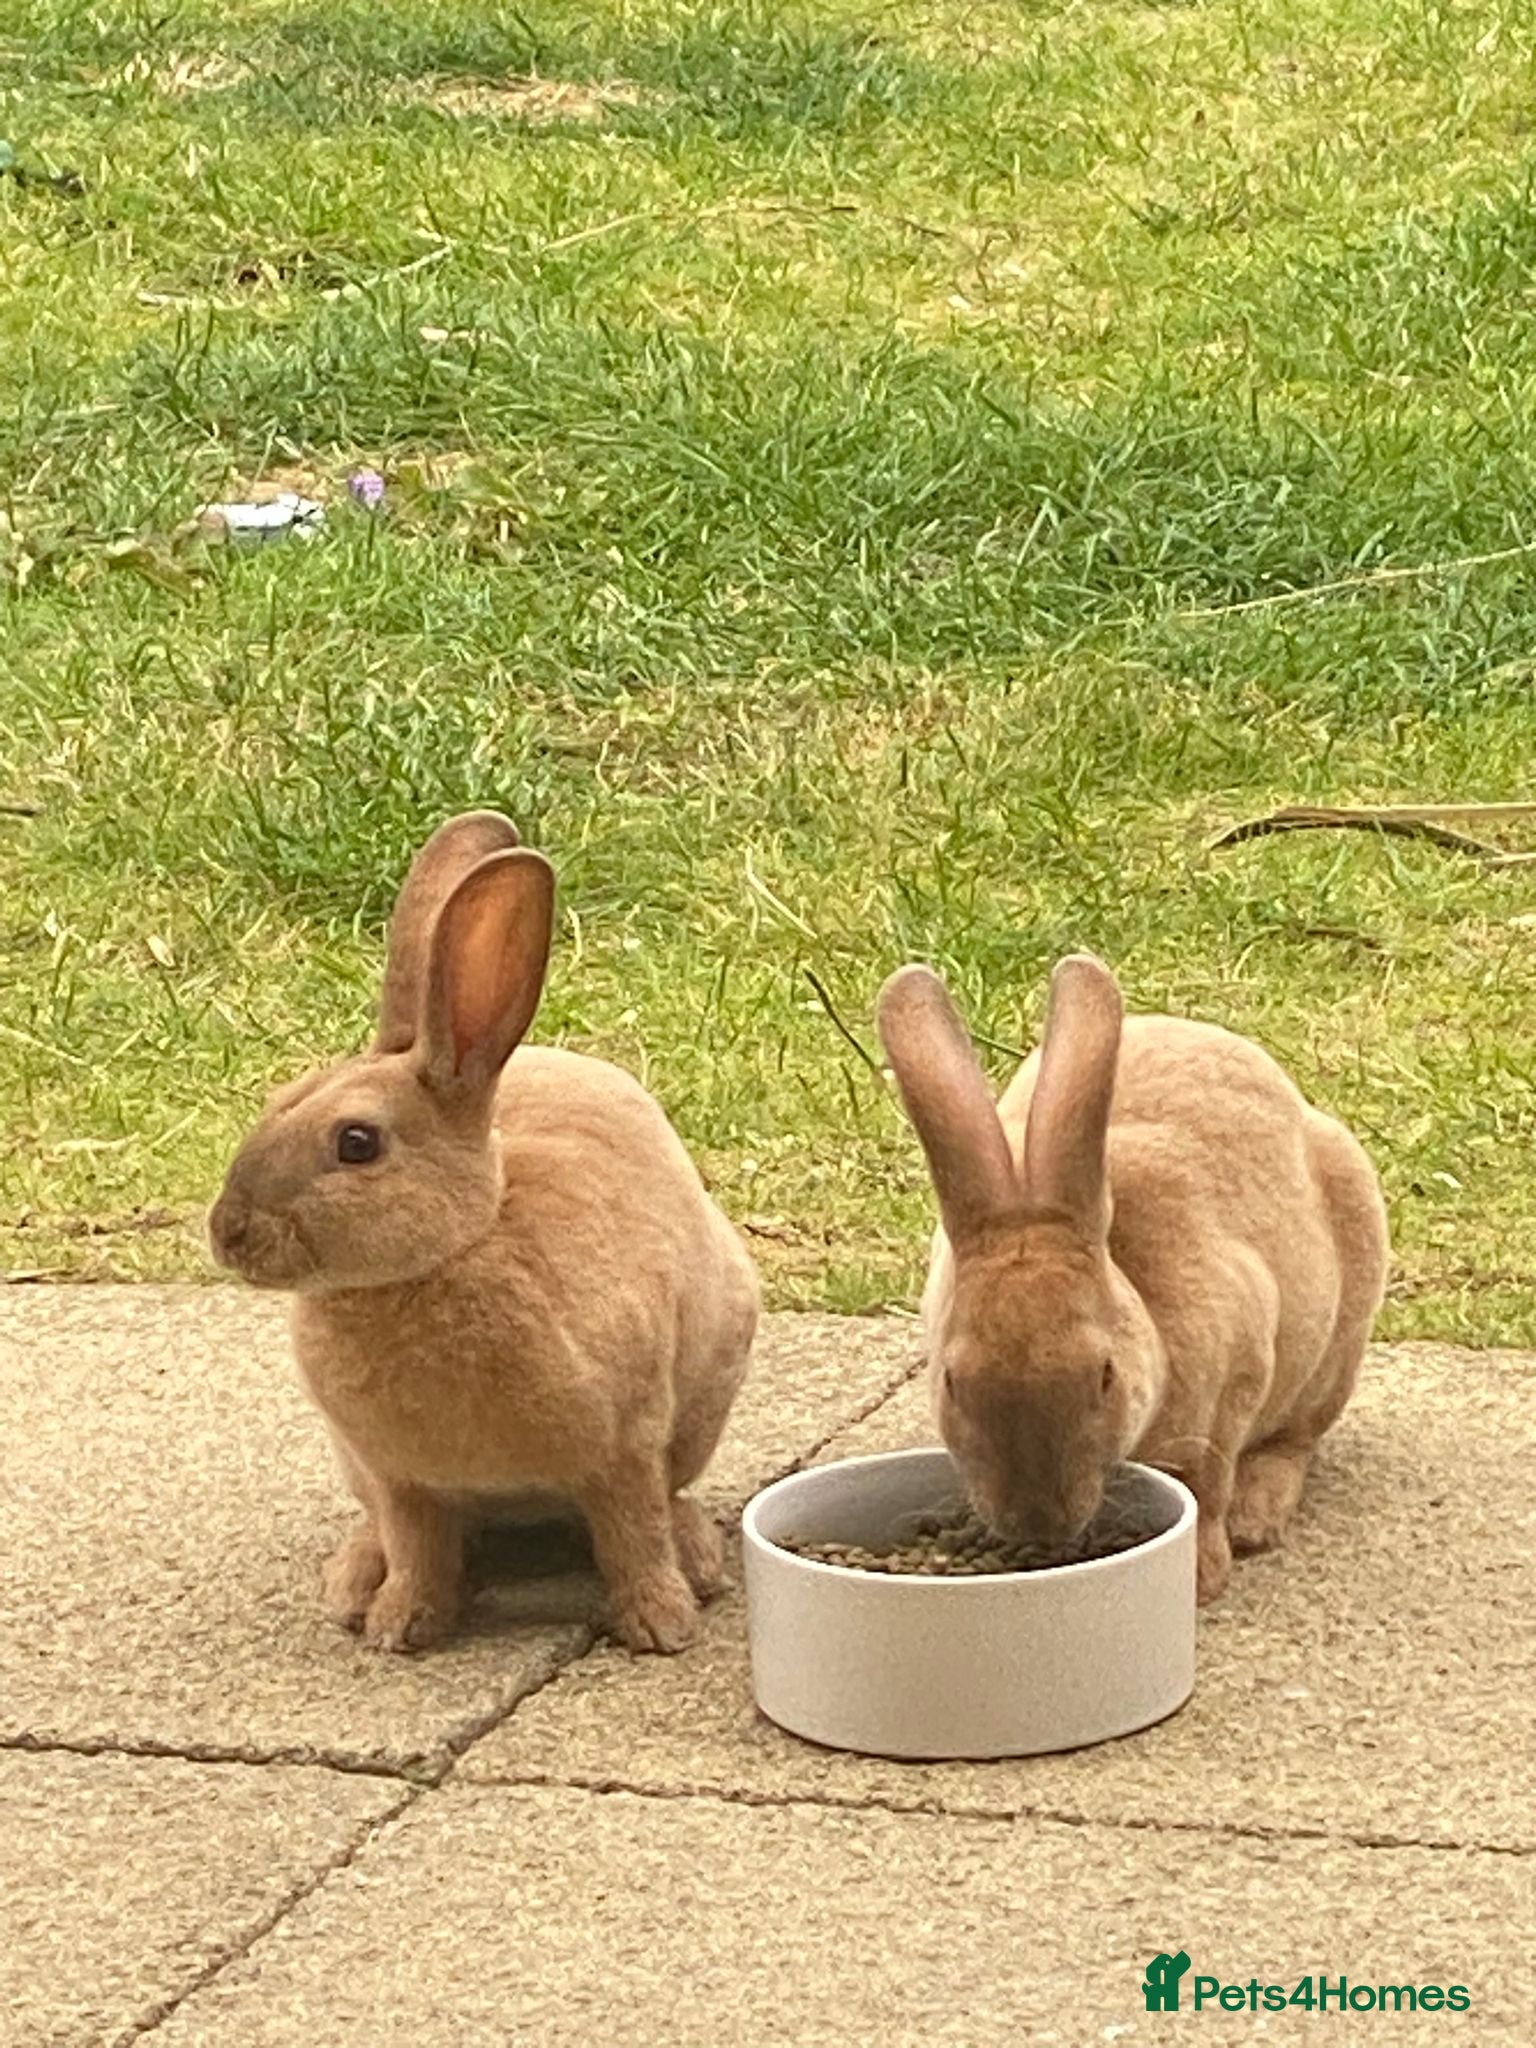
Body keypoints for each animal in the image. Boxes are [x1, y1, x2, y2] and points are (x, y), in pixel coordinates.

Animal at [209, 812, 759, 1654]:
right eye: (277, 1100)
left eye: (357, 1143)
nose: (227, 1232)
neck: (453, 1251)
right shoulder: (401, 1481)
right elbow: (417, 1549)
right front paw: (400, 1627)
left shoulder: (625, 1447)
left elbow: (633, 1536)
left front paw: (662, 1626)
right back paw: (352, 1583)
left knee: (668, 1504)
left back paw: (697, 1557)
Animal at [876, 954, 1388, 1604]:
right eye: (950, 1382)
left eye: (1105, 1374)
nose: (1039, 1522)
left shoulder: (1238, 1375)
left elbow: (1206, 1481)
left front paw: (1201, 1578)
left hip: (1338, 1347)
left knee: (1293, 1441)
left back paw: (1256, 1519)